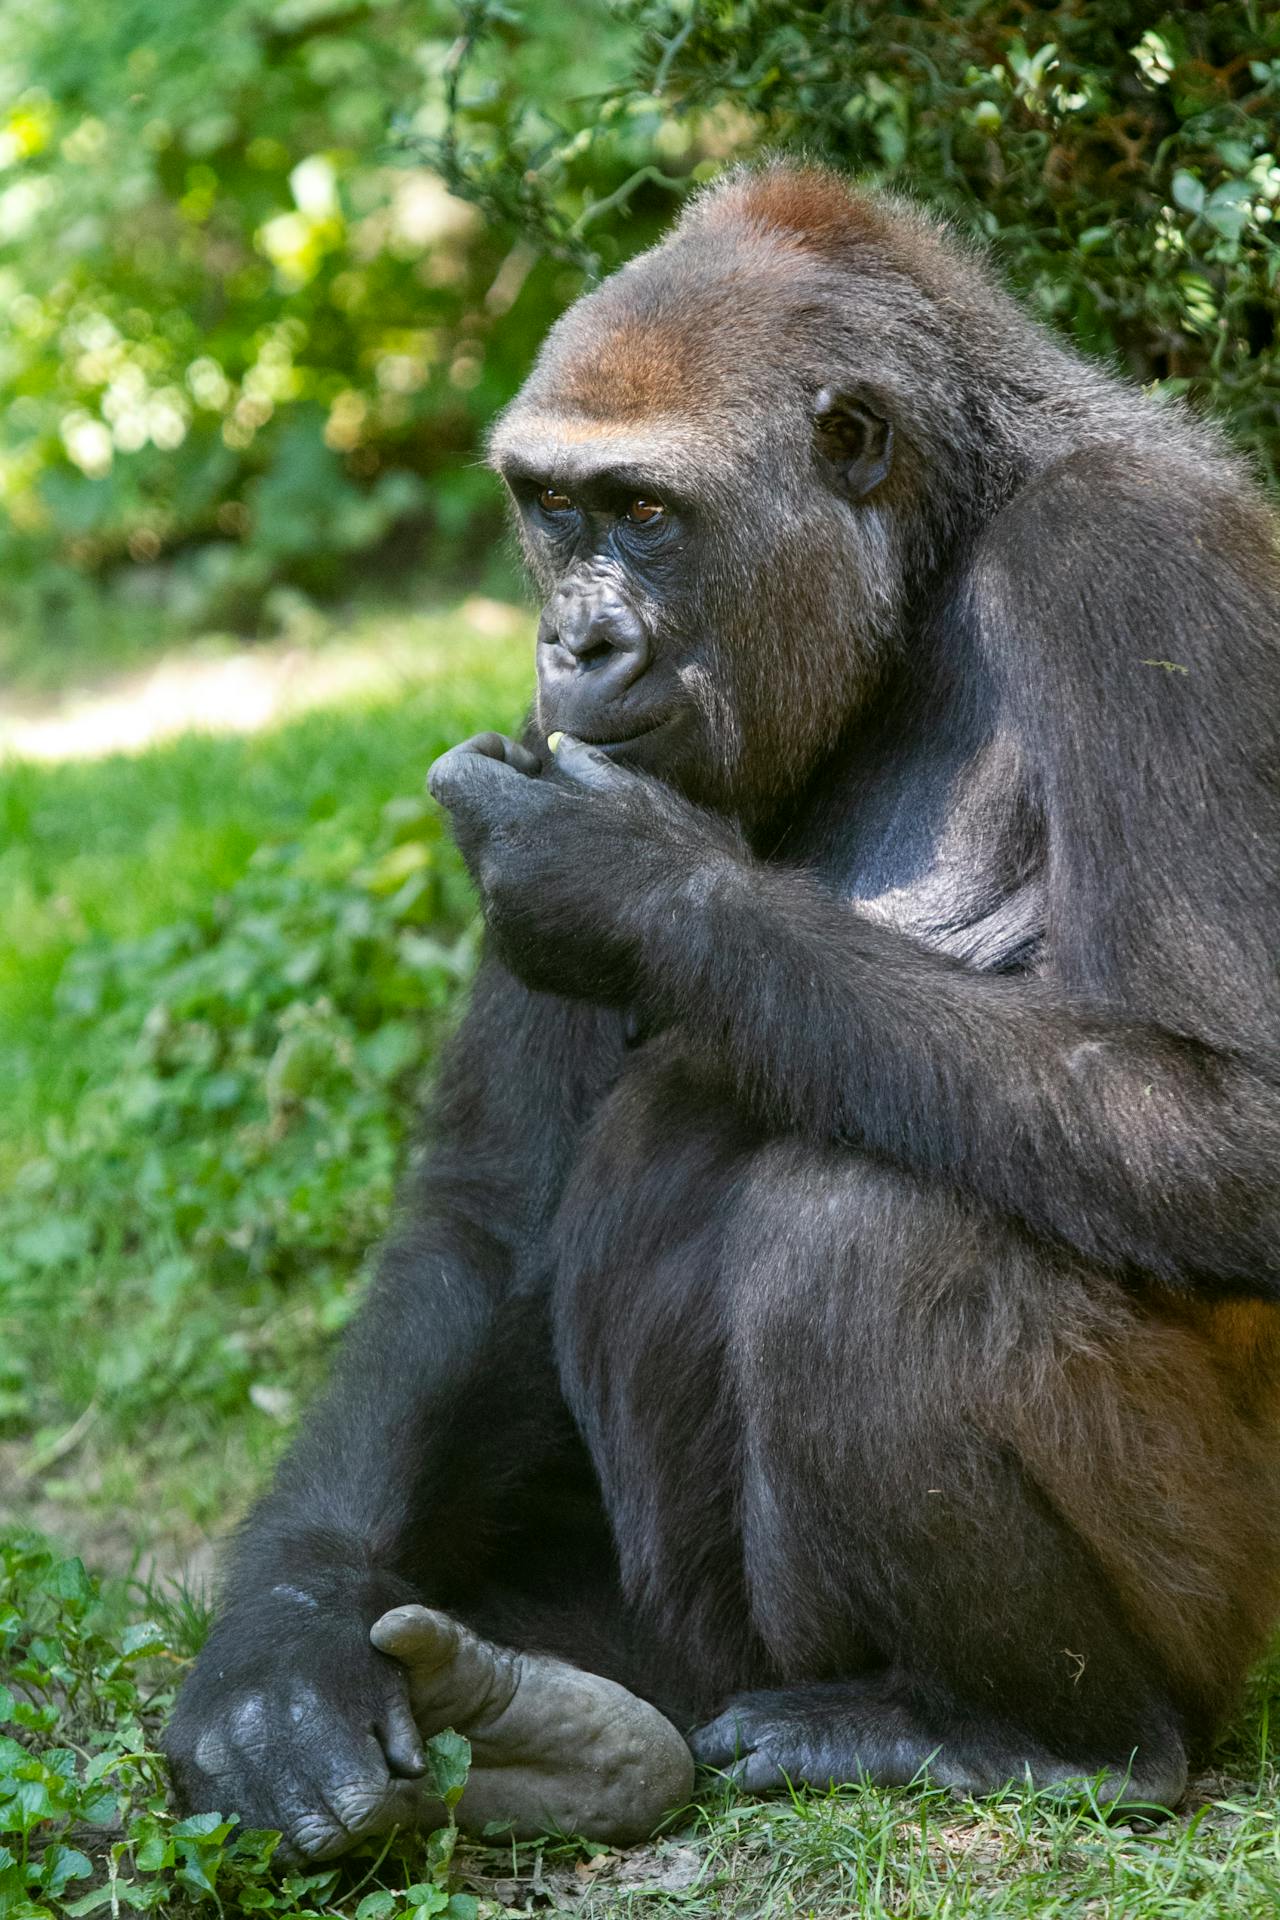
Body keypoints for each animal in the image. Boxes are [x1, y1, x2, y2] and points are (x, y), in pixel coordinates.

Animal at [166, 162, 1280, 1859]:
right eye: (553, 511)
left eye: (645, 514)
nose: (578, 638)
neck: (935, 560)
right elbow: (492, 1212)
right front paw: (279, 1655)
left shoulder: (1136, 562)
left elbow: (1235, 1122)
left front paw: (632, 887)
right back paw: (554, 1730)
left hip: (1220, 1614)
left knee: (864, 1233)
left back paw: (1043, 1737)